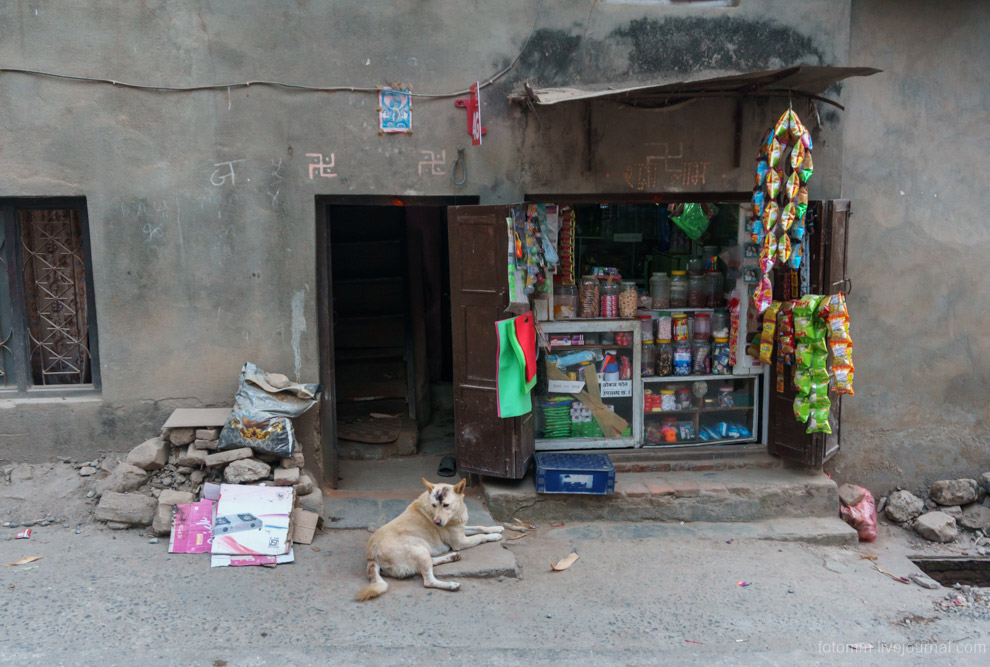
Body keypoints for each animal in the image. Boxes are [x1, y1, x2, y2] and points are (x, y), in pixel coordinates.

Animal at [356, 478, 504, 604]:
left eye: (445, 505)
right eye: (434, 505)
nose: (437, 522)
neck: (455, 514)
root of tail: (371, 556)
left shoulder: (461, 530)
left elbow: (480, 527)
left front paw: (496, 528)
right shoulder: (459, 542)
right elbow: (480, 537)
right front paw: (495, 536)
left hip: (422, 551)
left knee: (431, 562)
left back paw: (452, 557)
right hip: (419, 550)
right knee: (428, 581)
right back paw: (451, 584)